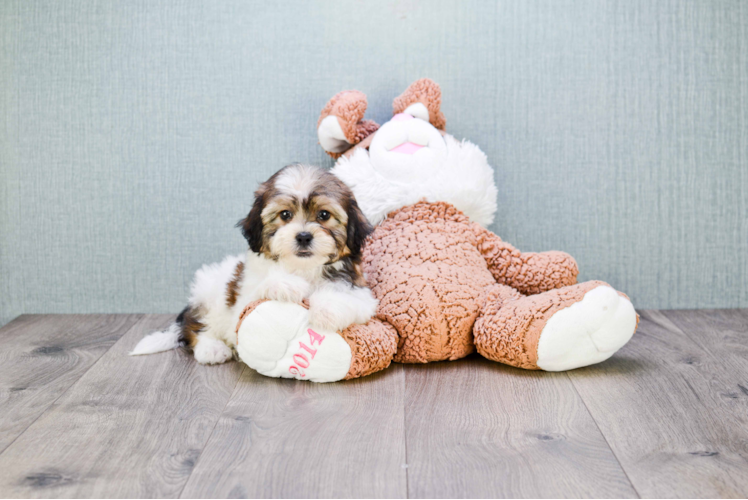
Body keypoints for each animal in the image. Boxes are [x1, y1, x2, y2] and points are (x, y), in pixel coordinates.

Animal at [130, 166, 380, 366]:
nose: (303, 236)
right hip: (209, 295)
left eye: (324, 215)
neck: (302, 268)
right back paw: (211, 348)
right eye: (285, 215)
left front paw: (327, 310)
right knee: (195, 328)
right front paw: (286, 285)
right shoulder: (243, 300)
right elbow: (258, 292)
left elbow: (346, 297)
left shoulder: (360, 292)